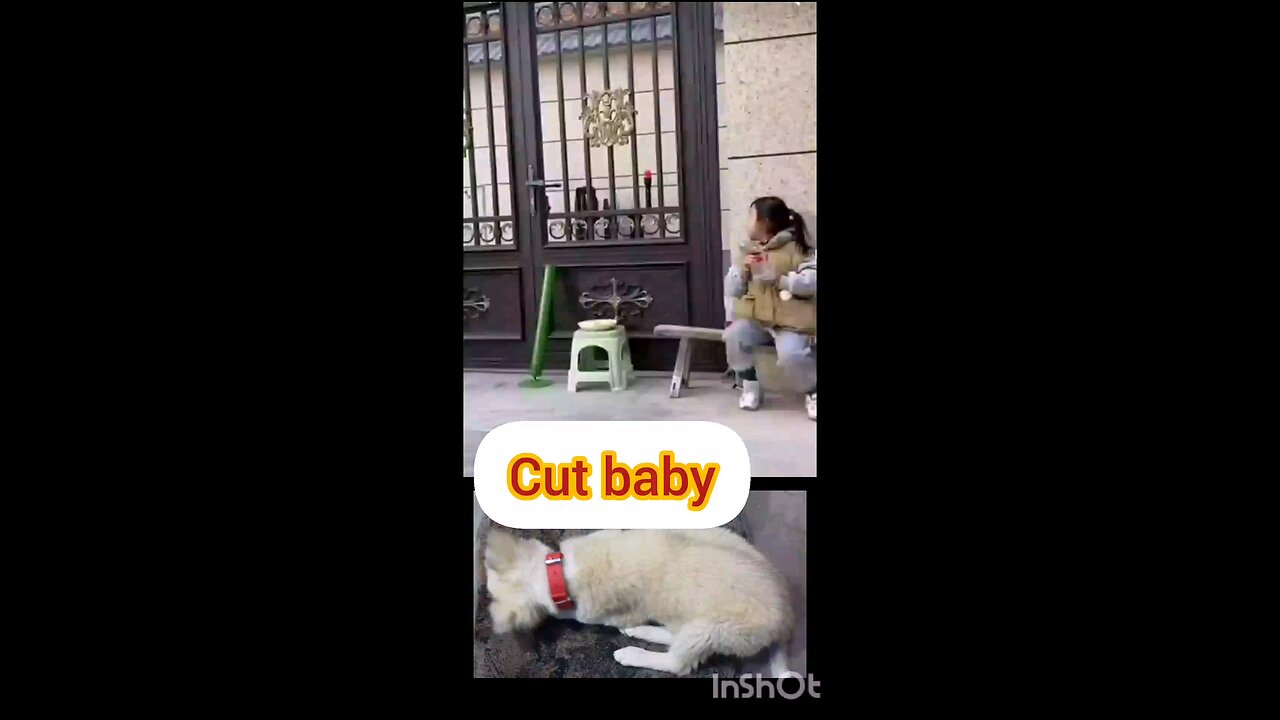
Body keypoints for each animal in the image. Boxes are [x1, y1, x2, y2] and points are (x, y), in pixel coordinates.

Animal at [483, 525, 793, 676]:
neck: (556, 572)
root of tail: (786, 620)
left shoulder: (601, 611)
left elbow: (572, 614)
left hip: (714, 628)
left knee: (677, 662)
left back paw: (632, 652)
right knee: (672, 634)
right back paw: (639, 632)